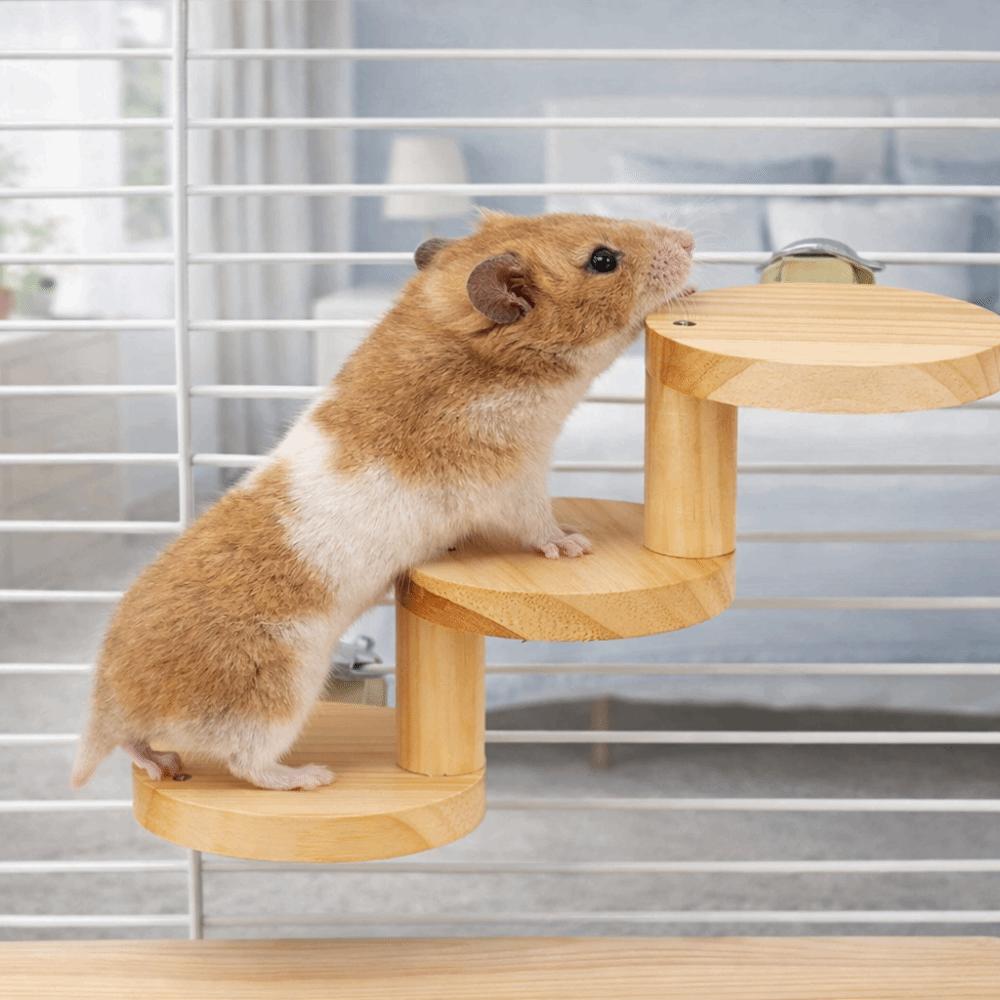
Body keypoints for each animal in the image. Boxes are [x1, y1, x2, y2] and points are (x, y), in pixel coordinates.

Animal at [71, 211, 693, 791]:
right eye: (603, 260)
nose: (688, 240)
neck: (467, 345)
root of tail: (110, 703)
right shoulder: (512, 479)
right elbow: (538, 524)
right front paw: (574, 545)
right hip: (275, 699)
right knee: (248, 764)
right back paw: (309, 776)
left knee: (137, 745)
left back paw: (162, 765)